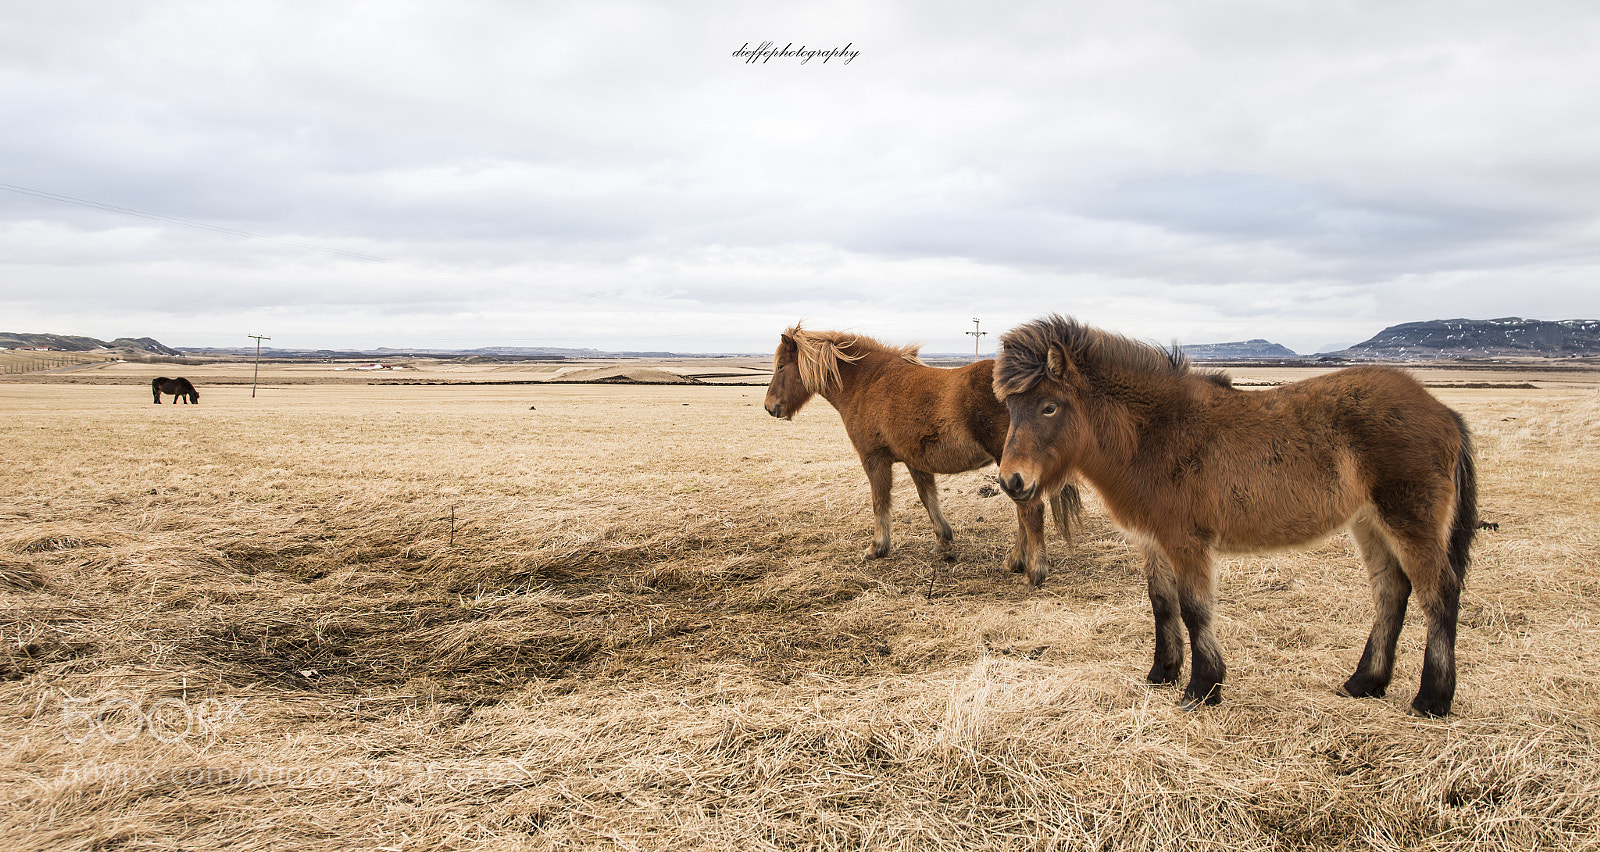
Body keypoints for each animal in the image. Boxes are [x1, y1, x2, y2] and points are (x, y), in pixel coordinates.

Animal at [764, 324, 1082, 585]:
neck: (868, 382)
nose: (769, 407)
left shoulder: (874, 459)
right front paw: (943, 540)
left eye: (780, 366)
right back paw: (1015, 562)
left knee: (1030, 510)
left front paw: (877, 547)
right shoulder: (916, 461)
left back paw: (1033, 570)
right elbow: (928, 497)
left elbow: (880, 501)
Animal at [992, 315, 1476, 716]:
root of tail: (1442, 411)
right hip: (1369, 523)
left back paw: (1432, 699)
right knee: (1391, 593)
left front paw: (1203, 687)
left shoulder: (1186, 542)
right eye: (1010, 409)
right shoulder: (1152, 541)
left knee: (1439, 594)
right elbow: (1162, 604)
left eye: (1049, 406)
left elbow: (1194, 608)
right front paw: (1162, 674)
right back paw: (1364, 683)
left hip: (1409, 522)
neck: (1155, 435)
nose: (1012, 481)